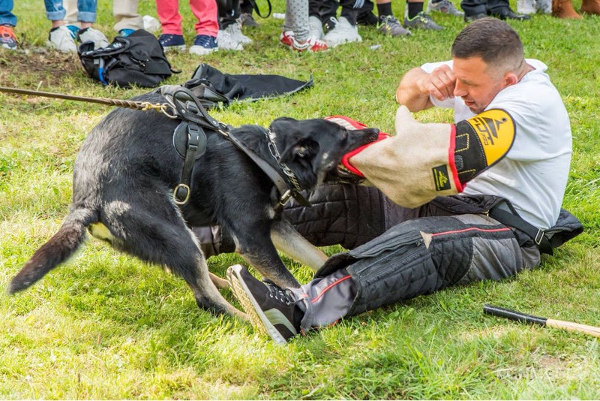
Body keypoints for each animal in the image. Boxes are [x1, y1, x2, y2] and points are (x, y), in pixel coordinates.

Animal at [8, 92, 376, 318]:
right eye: (344, 137)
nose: (373, 130)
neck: (268, 156)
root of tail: (85, 201)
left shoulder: (275, 228)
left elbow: (317, 256)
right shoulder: (254, 241)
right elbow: (292, 282)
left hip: (174, 238)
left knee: (194, 275)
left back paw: (230, 285)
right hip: (173, 231)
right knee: (206, 299)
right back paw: (251, 318)